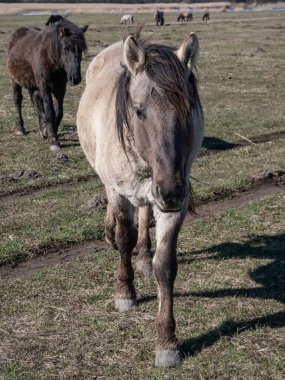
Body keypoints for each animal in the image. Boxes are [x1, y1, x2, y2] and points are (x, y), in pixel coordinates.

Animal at [7, 18, 87, 150]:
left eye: (81, 49)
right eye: (65, 48)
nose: (75, 78)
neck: (50, 57)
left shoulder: (60, 88)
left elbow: (59, 112)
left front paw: (49, 131)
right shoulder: (45, 86)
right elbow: (49, 111)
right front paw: (53, 140)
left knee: (36, 100)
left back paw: (42, 128)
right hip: (15, 81)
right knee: (17, 100)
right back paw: (20, 129)